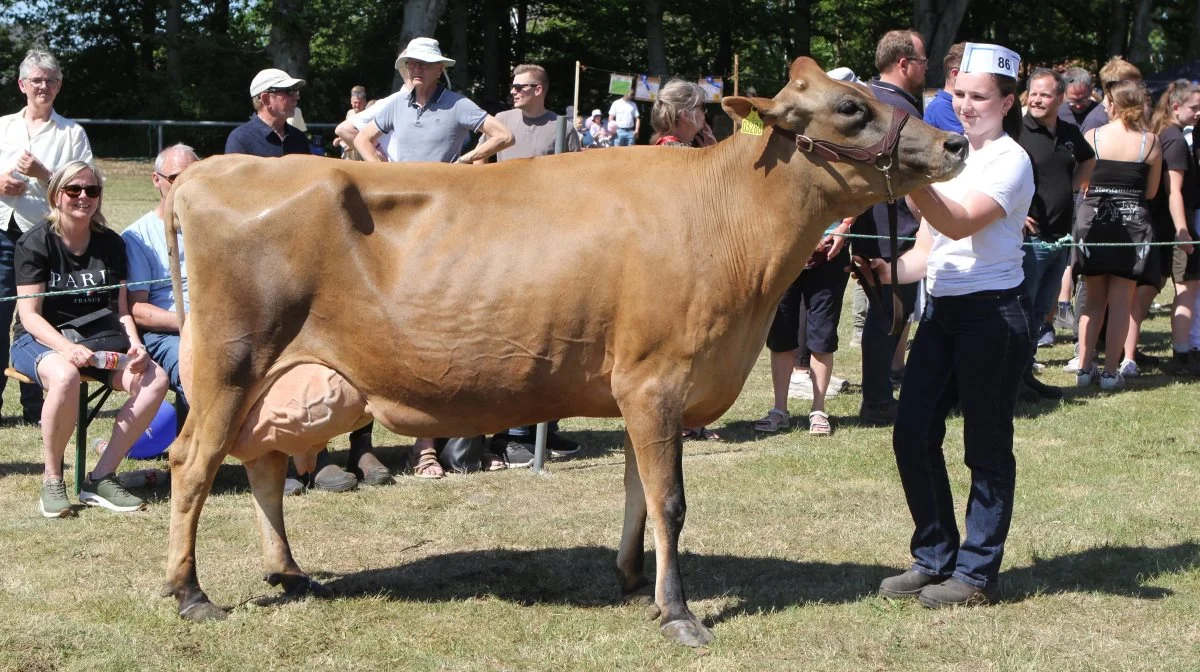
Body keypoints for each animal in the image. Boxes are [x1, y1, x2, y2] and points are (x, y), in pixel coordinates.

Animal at [162, 59, 964, 648]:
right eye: (851, 107)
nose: (954, 144)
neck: (731, 220)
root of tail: (209, 170)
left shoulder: (642, 387)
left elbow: (640, 490)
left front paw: (635, 580)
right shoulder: (656, 378)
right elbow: (671, 499)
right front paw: (679, 615)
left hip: (279, 376)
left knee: (263, 464)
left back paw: (289, 572)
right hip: (229, 360)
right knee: (194, 462)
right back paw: (189, 593)